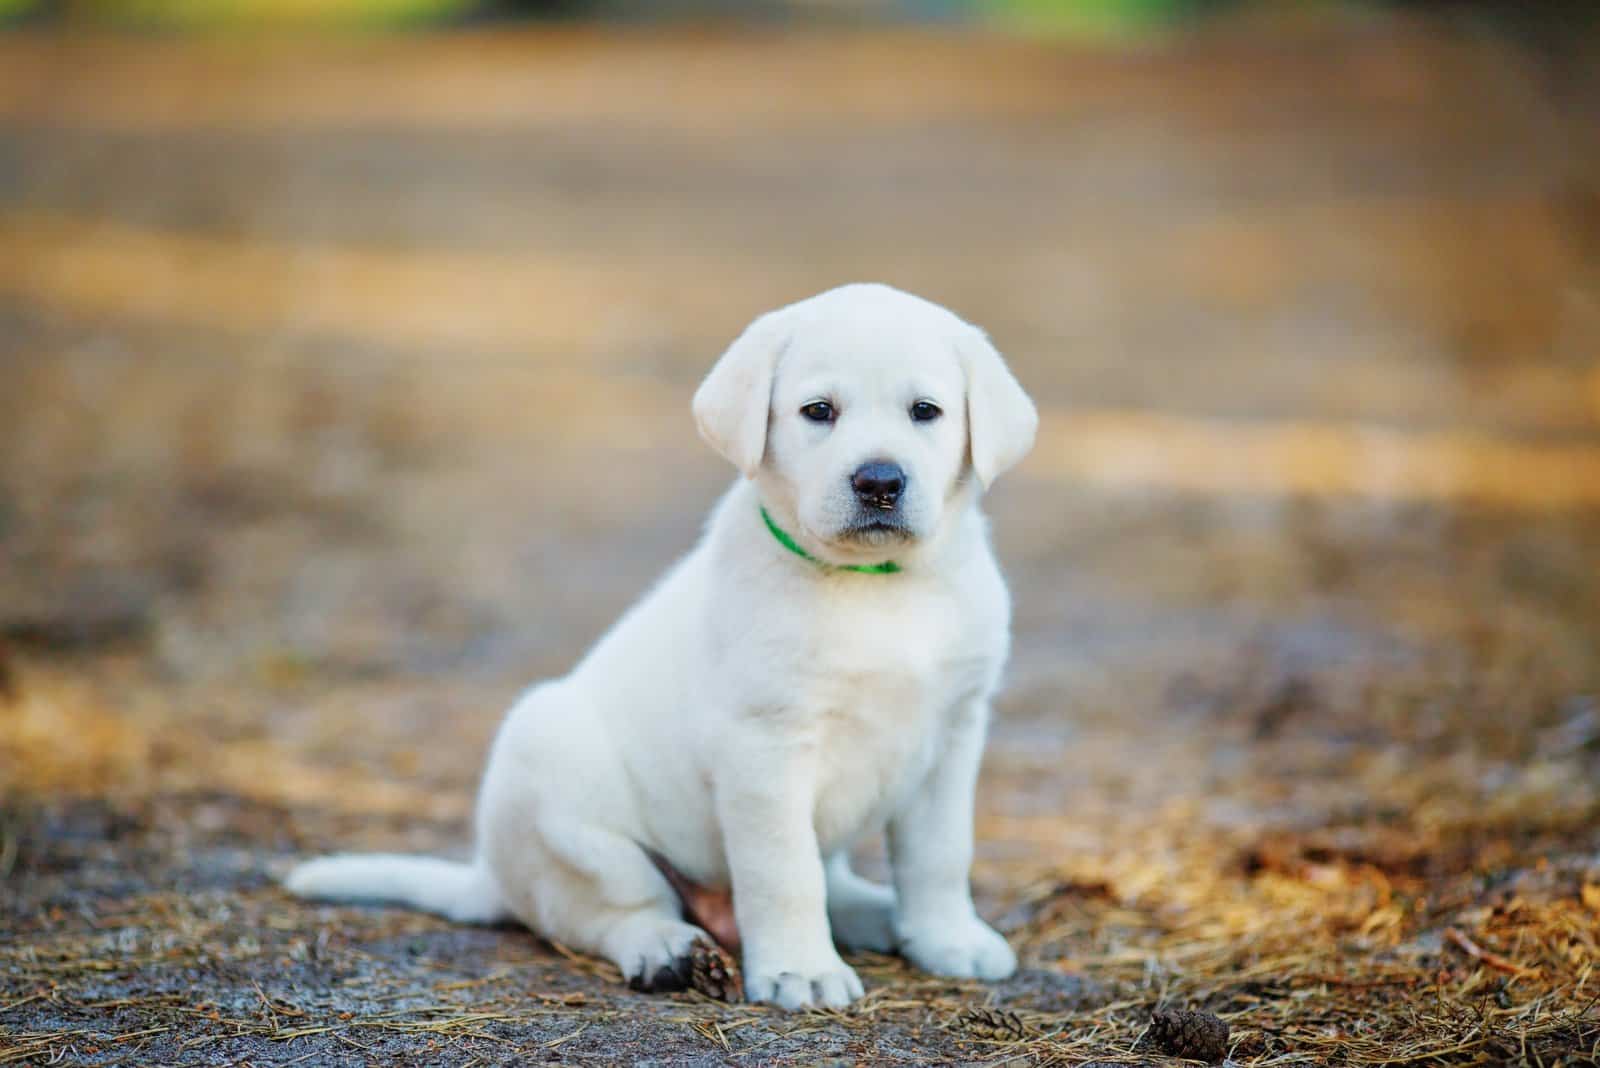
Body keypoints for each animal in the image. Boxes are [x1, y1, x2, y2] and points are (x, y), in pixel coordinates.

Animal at [286, 282, 1036, 1010]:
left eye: (926, 411)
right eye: (818, 411)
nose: (879, 480)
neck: (878, 586)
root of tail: (491, 879)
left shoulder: (954, 735)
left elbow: (940, 855)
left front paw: (948, 939)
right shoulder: (764, 746)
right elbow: (784, 870)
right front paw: (801, 970)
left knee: (835, 883)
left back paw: (879, 916)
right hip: (557, 779)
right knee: (613, 910)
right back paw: (670, 952)